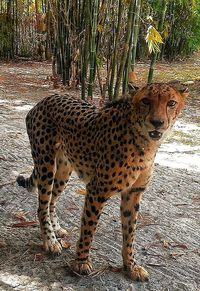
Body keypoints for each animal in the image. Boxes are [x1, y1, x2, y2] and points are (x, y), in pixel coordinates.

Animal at [16, 83, 187, 282]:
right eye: (146, 101)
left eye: (171, 103)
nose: (157, 122)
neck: (144, 140)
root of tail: (46, 99)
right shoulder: (97, 191)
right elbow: (88, 229)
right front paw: (81, 262)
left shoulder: (133, 193)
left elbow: (130, 233)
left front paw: (131, 266)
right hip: (46, 165)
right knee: (42, 206)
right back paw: (50, 242)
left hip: (63, 171)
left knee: (52, 201)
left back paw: (56, 230)